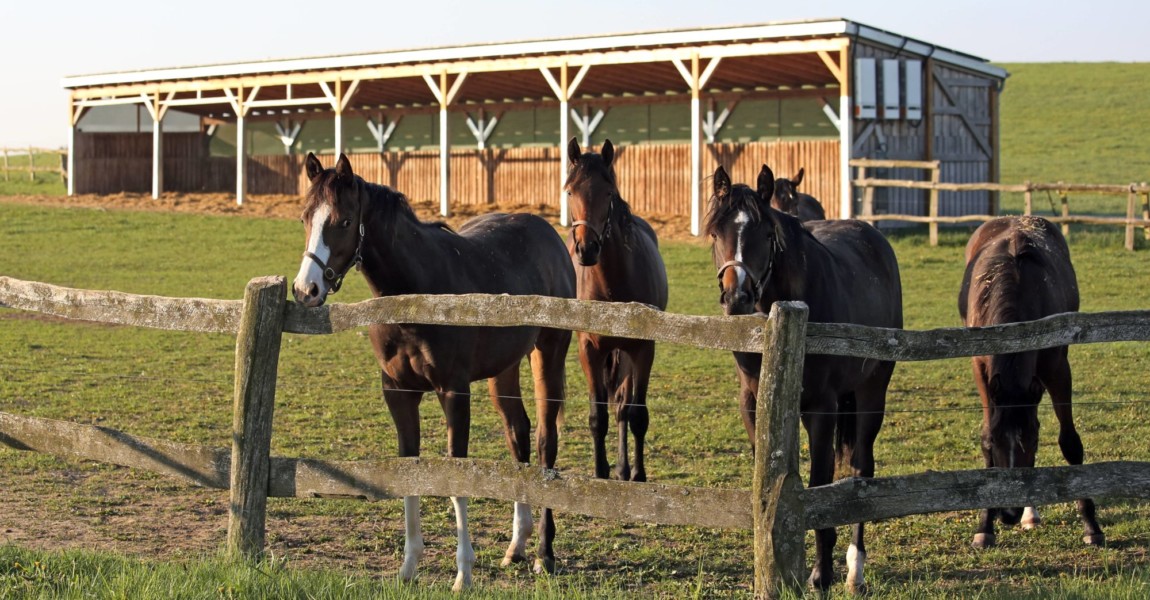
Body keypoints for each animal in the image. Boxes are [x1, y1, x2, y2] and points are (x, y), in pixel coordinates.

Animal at [287, 151, 575, 586]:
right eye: (305, 217)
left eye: (344, 221)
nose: (306, 291)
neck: (417, 295)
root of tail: (548, 233)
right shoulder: (398, 393)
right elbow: (409, 471)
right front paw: (408, 568)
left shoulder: (454, 392)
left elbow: (456, 476)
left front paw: (464, 573)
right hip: (504, 368)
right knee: (517, 431)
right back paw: (516, 546)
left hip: (549, 355)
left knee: (545, 441)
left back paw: (545, 553)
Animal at [563, 137, 671, 478]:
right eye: (570, 191)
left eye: (608, 192)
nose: (586, 248)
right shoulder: (589, 349)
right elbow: (598, 417)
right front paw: (600, 473)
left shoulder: (643, 349)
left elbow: (636, 414)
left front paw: (638, 475)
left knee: (624, 406)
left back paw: (625, 470)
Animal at [952, 217, 1104, 549]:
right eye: (997, 443)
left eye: (1032, 441)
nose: (1008, 513)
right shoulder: (981, 368)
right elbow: (985, 433)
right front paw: (985, 526)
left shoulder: (1057, 367)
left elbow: (1069, 443)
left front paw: (1091, 526)